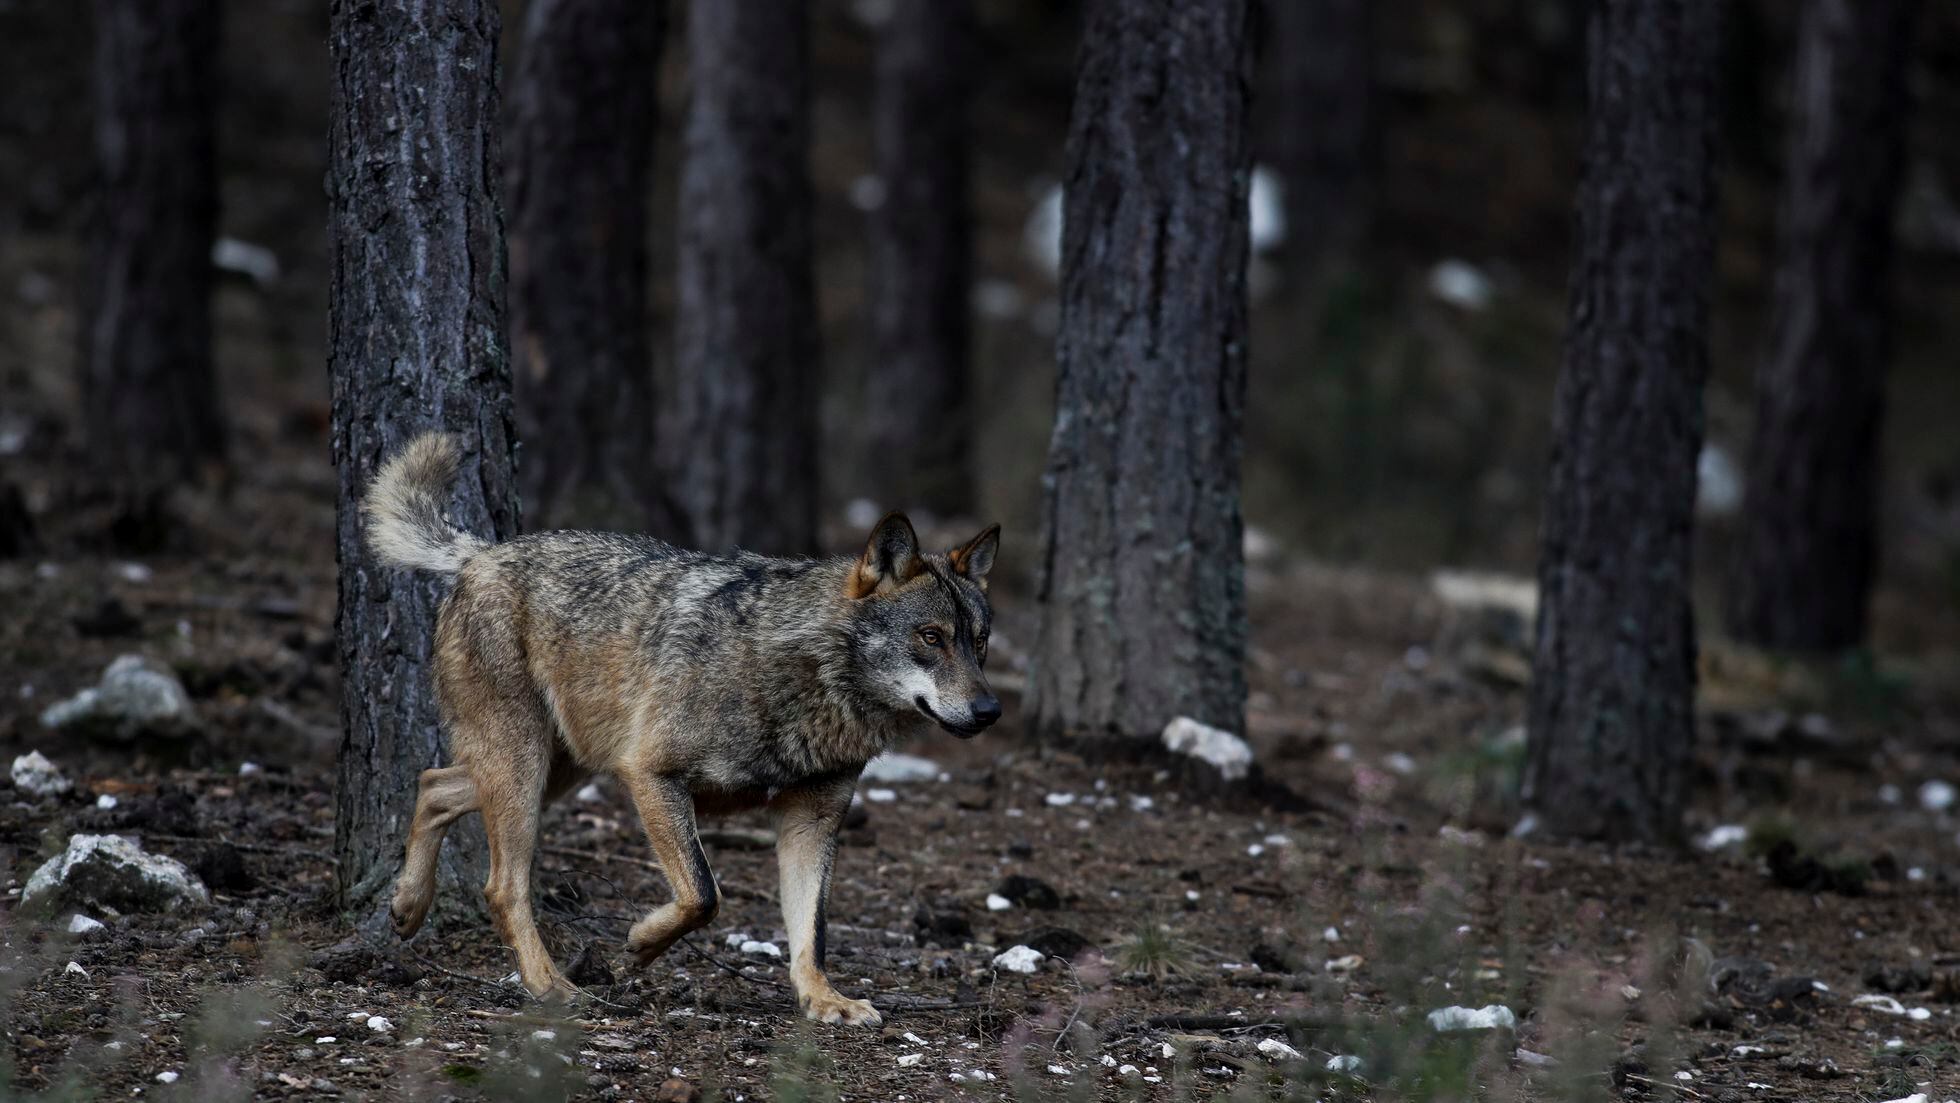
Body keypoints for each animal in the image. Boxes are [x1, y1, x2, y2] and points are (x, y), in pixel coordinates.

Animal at [368, 431, 1003, 1026]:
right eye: (931, 637)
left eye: (980, 641)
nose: (990, 711)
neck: (805, 678)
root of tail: (481, 553)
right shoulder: (651, 775)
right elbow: (703, 894)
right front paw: (639, 946)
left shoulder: (814, 818)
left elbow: (811, 932)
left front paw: (824, 1000)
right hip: (527, 772)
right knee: (501, 886)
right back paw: (550, 987)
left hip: (556, 772)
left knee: (434, 784)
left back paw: (406, 906)